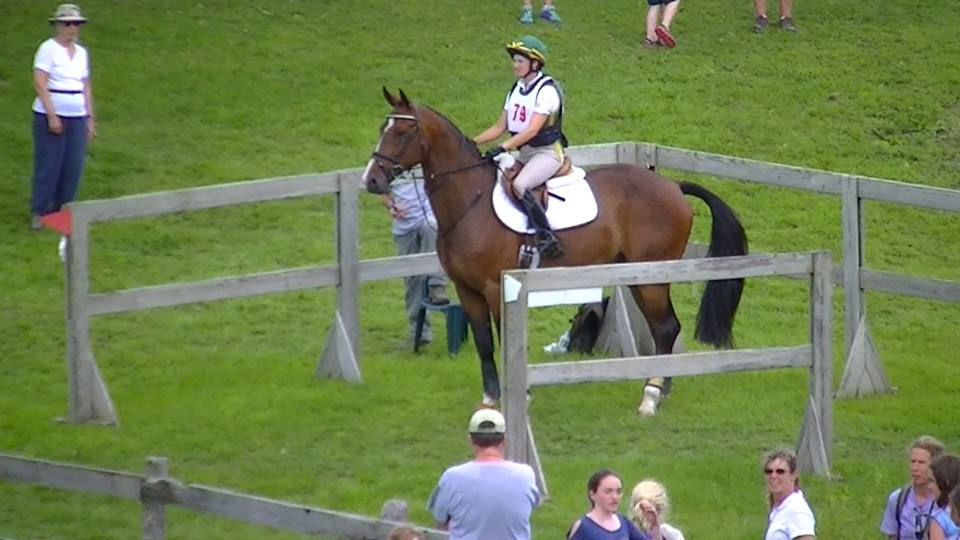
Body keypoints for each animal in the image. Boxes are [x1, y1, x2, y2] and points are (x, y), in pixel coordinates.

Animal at [362, 88, 748, 415]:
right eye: (382, 128)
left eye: (402, 133)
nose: (371, 180)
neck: (469, 200)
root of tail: (672, 185)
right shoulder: (467, 290)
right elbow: (485, 345)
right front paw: (489, 401)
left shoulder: (495, 288)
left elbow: (505, 344)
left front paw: (518, 397)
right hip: (637, 275)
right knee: (662, 329)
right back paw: (659, 389)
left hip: (652, 276)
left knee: (666, 328)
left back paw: (651, 396)